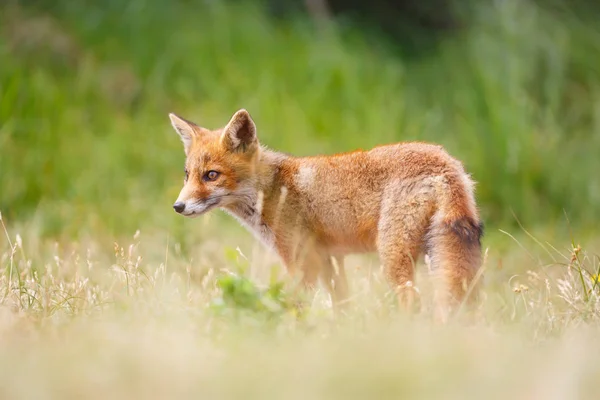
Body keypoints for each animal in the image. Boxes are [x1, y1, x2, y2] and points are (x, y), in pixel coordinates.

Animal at [168, 108, 482, 318]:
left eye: (211, 175)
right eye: (187, 175)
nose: (178, 207)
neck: (274, 190)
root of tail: (446, 163)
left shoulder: (303, 262)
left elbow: (296, 306)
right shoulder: (329, 259)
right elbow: (342, 304)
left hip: (394, 255)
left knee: (412, 302)